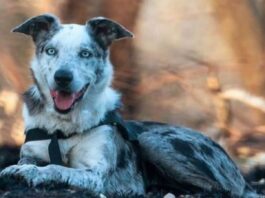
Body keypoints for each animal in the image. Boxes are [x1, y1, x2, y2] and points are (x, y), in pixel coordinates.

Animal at [0, 13, 256, 198]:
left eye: (85, 53)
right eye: (51, 51)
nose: (63, 77)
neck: (64, 127)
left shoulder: (95, 175)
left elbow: (57, 168)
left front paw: (30, 173)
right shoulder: (32, 152)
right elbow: (30, 162)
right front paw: (21, 169)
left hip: (152, 140)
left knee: (220, 189)